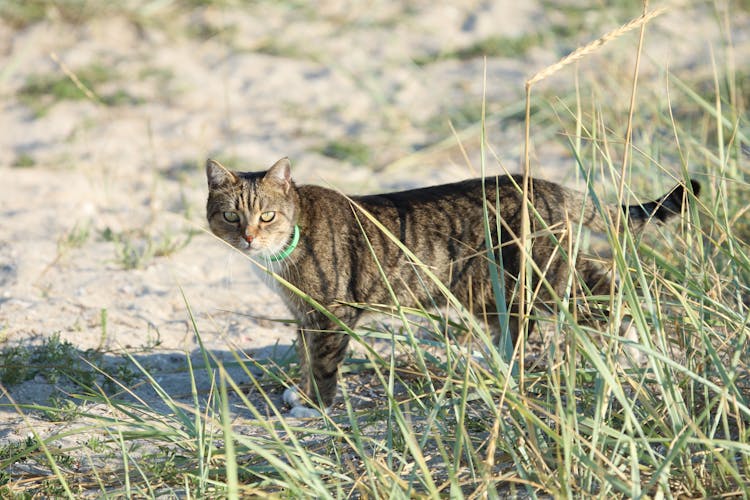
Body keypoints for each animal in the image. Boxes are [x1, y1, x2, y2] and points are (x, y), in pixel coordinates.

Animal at [204, 157, 700, 418]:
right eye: (230, 216)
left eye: (267, 216)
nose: (248, 237)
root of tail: (545, 183)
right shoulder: (304, 315)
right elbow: (307, 357)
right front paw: (302, 393)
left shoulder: (331, 312)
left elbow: (324, 364)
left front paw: (315, 407)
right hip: (490, 289)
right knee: (520, 328)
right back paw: (501, 368)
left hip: (547, 276)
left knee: (612, 295)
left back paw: (635, 350)